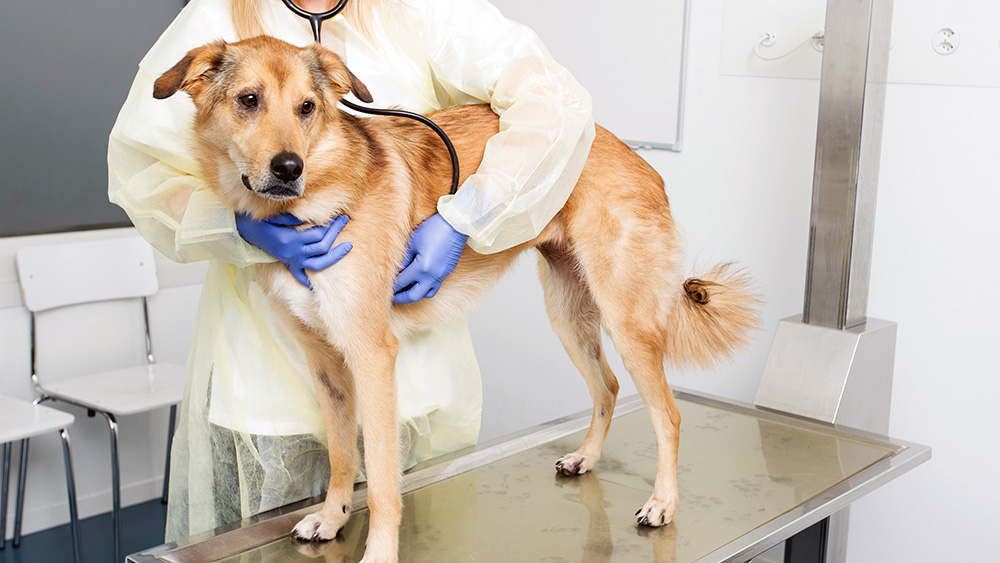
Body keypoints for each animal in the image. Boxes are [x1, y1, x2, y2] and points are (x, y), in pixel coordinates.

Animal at [152, 36, 752, 563]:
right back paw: (585, 457)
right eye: (248, 100)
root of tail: (633, 155)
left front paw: (379, 551)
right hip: (568, 316)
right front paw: (332, 517)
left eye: (307, 108)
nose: (288, 168)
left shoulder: (372, 358)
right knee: (606, 387)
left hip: (626, 320)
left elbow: (383, 480)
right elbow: (343, 455)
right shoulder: (325, 361)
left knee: (668, 415)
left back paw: (663, 503)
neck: (311, 203)